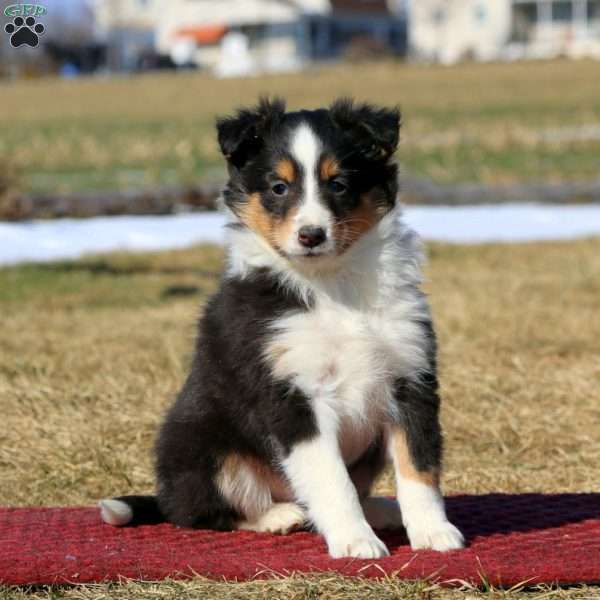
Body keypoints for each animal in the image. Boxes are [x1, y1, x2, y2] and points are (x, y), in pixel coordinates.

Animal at [99, 97, 464, 556]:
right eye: (278, 187)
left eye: (338, 184)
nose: (311, 235)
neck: (332, 282)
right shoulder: (292, 395)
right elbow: (332, 480)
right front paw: (355, 541)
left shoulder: (410, 377)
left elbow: (420, 467)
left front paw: (434, 532)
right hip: (204, 445)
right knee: (206, 511)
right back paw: (280, 516)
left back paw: (382, 509)